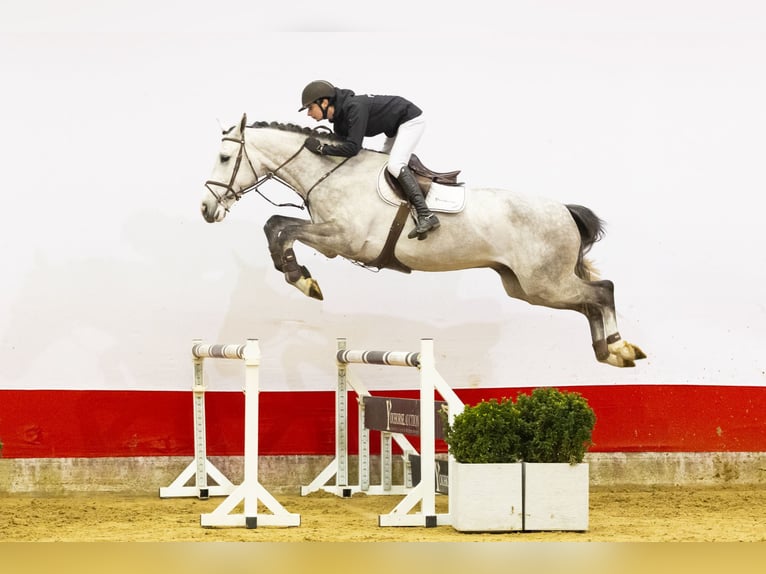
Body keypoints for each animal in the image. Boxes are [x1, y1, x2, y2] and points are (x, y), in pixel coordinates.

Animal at [200, 114, 646, 367]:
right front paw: (301, 276)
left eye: (224, 158)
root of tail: (564, 211)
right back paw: (608, 352)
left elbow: (284, 229)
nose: (206, 209)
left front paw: (303, 280)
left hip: (545, 283)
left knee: (602, 290)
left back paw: (619, 348)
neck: (331, 172)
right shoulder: (329, 240)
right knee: (589, 301)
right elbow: (276, 225)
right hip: (526, 287)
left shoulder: (342, 239)